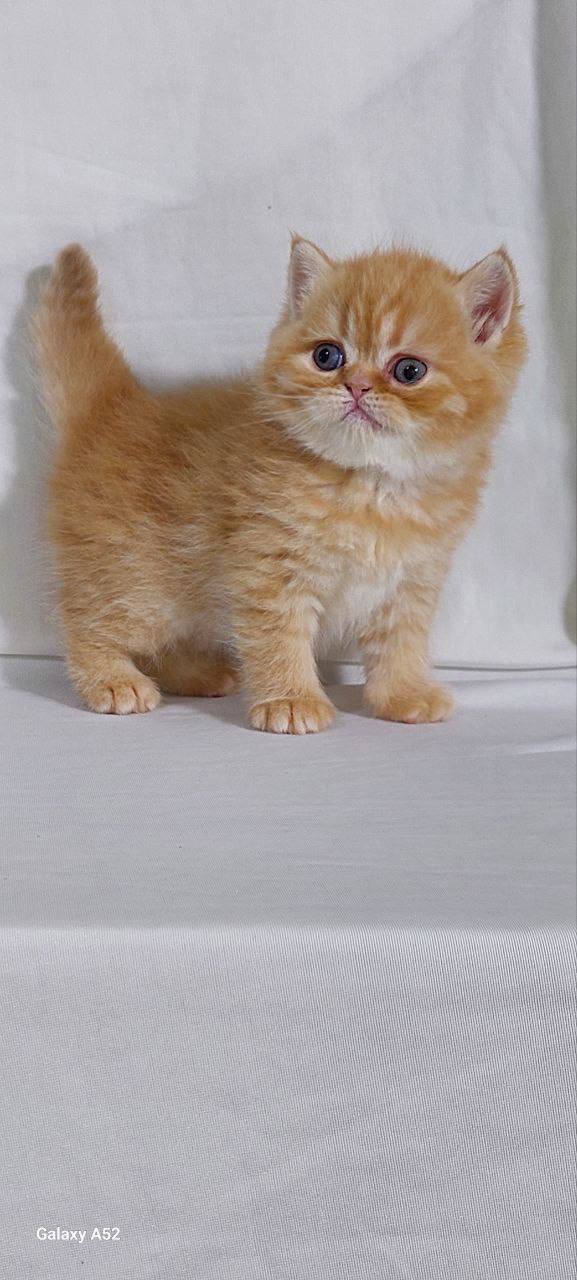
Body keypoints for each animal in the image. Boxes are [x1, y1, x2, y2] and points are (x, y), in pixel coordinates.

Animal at [33, 236, 526, 732]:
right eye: (327, 356)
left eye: (409, 370)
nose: (357, 386)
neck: (372, 487)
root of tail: (111, 408)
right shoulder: (269, 569)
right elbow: (278, 638)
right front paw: (290, 700)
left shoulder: (411, 582)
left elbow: (399, 644)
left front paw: (402, 694)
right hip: (139, 581)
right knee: (86, 620)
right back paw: (112, 680)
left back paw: (197, 674)